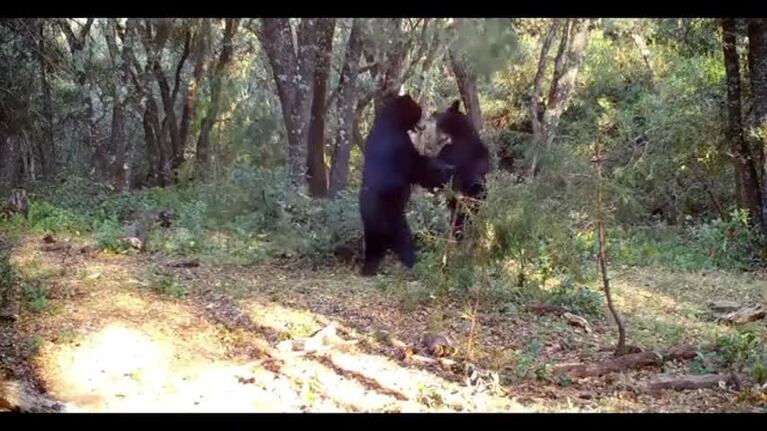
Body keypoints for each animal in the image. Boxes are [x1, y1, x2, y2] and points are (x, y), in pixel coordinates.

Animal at [360, 94, 456, 276]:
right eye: (418, 110)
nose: (423, 125)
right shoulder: (400, 144)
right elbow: (417, 167)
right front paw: (445, 171)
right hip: (391, 212)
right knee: (401, 237)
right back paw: (414, 262)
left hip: (370, 221)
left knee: (374, 243)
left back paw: (369, 267)